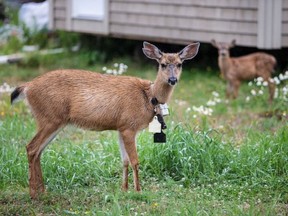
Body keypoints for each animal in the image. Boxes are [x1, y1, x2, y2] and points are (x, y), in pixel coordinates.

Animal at [11, 41, 200, 199]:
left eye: (180, 64)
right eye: (162, 64)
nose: (173, 79)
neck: (148, 97)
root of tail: (27, 87)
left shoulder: (121, 127)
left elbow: (124, 161)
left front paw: (124, 189)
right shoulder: (129, 127)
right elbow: (135, 161)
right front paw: (138, 191)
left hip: (53, 120)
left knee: (38, 150)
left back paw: (42, 191)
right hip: (50, 118)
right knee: (32, 147)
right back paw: (33, 194)